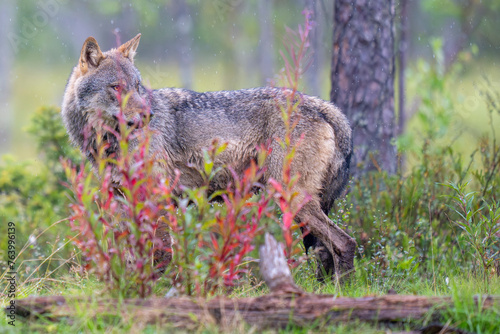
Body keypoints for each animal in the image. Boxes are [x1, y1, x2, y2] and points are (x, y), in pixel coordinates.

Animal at [62, 33, 358, 280]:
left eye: (136, 86)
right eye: (116, 87)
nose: (148, 115)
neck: (108, 144)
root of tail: (324, 106)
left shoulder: (158, 198)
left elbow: (160, 256)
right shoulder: (124, 203)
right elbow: (132, 257)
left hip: (292, 198)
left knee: (345, 243)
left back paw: (341, 292)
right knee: (326, 250)